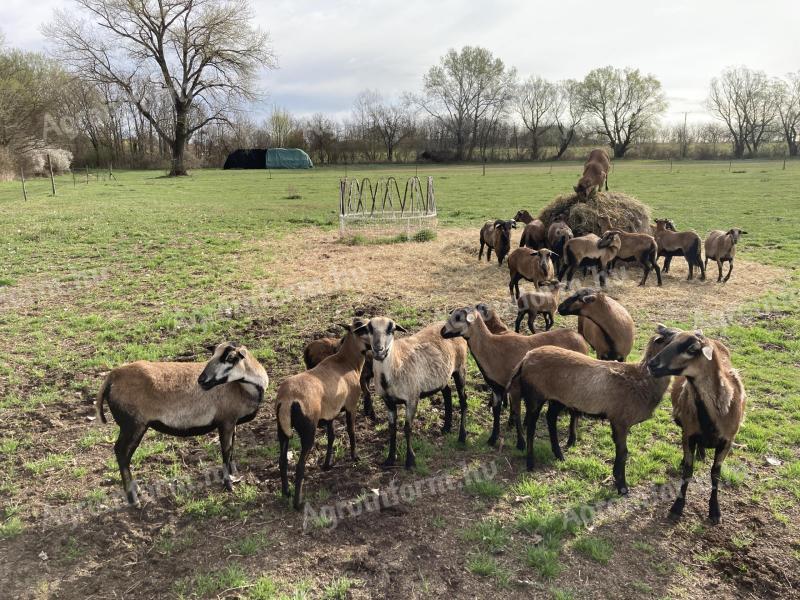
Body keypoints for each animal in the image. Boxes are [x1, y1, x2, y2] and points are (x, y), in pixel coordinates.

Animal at [97, 342, 270, 506]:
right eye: (213, 355)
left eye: (230, 358)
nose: (202, 380)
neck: (245, 389)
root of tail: (112, 376)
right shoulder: (226, 420)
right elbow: (226, 452)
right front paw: (228, 484)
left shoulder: (232, 423)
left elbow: (232, 450)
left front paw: (233, 477)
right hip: (133, 425)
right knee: (121, 453)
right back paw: (133, 498)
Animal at [276, 316, 370, 508]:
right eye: (362, 328)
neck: (346, 362)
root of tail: (287, 400)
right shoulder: (351, 405)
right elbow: (351, 431)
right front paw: (355, 456)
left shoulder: (330, 414)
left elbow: (331, 437)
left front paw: (327, 464)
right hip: (308, 430)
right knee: (300, 465)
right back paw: (298, 503)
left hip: (282, 430)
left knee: (282, 461)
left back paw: (286, 492)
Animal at [364, 318, 468, 468]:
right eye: (369, 329)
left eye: (391, 329)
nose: (379, 350)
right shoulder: (388, 401)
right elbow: (392, 428)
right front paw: (390, 459)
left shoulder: (412, 397)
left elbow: (407, 428)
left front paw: (410, 460)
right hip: (442, 376)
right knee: (447, 392)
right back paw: (446, 428)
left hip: (460, 368)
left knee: (463, 400)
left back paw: (462, 436)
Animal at [506, 328, 676, 492]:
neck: (642, 380)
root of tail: (526, 358)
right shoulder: (620, 420)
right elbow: (623, 452)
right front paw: (621, 485)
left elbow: (621, 451)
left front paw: (617, 479)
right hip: (535, 396)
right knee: (531, 427)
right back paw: (530, 463)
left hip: (558, 398)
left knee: (550, 418)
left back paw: (559, 454)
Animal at [648, 326, 748, 524]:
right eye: (670, 342)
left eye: (692, 349)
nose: (652, 364)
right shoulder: (688, 435)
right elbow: (688, 471)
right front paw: (677, 508)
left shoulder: (727, 441)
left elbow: (715, 474)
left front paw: (715, 511)